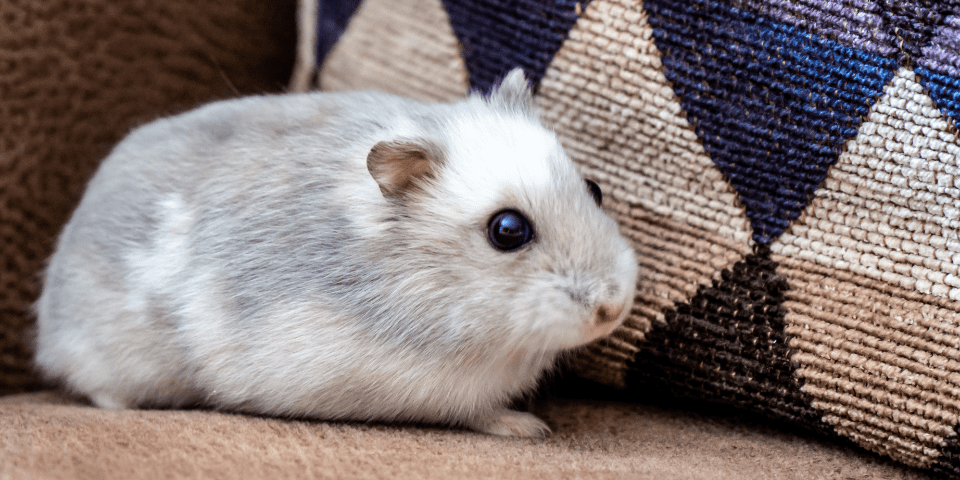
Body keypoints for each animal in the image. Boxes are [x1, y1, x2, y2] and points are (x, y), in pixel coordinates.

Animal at [33, 68, 636, 438]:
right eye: (507, 229)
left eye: (595, 189)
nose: (613, 309)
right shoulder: (424, 388)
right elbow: (478, 411)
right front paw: (529, 428)